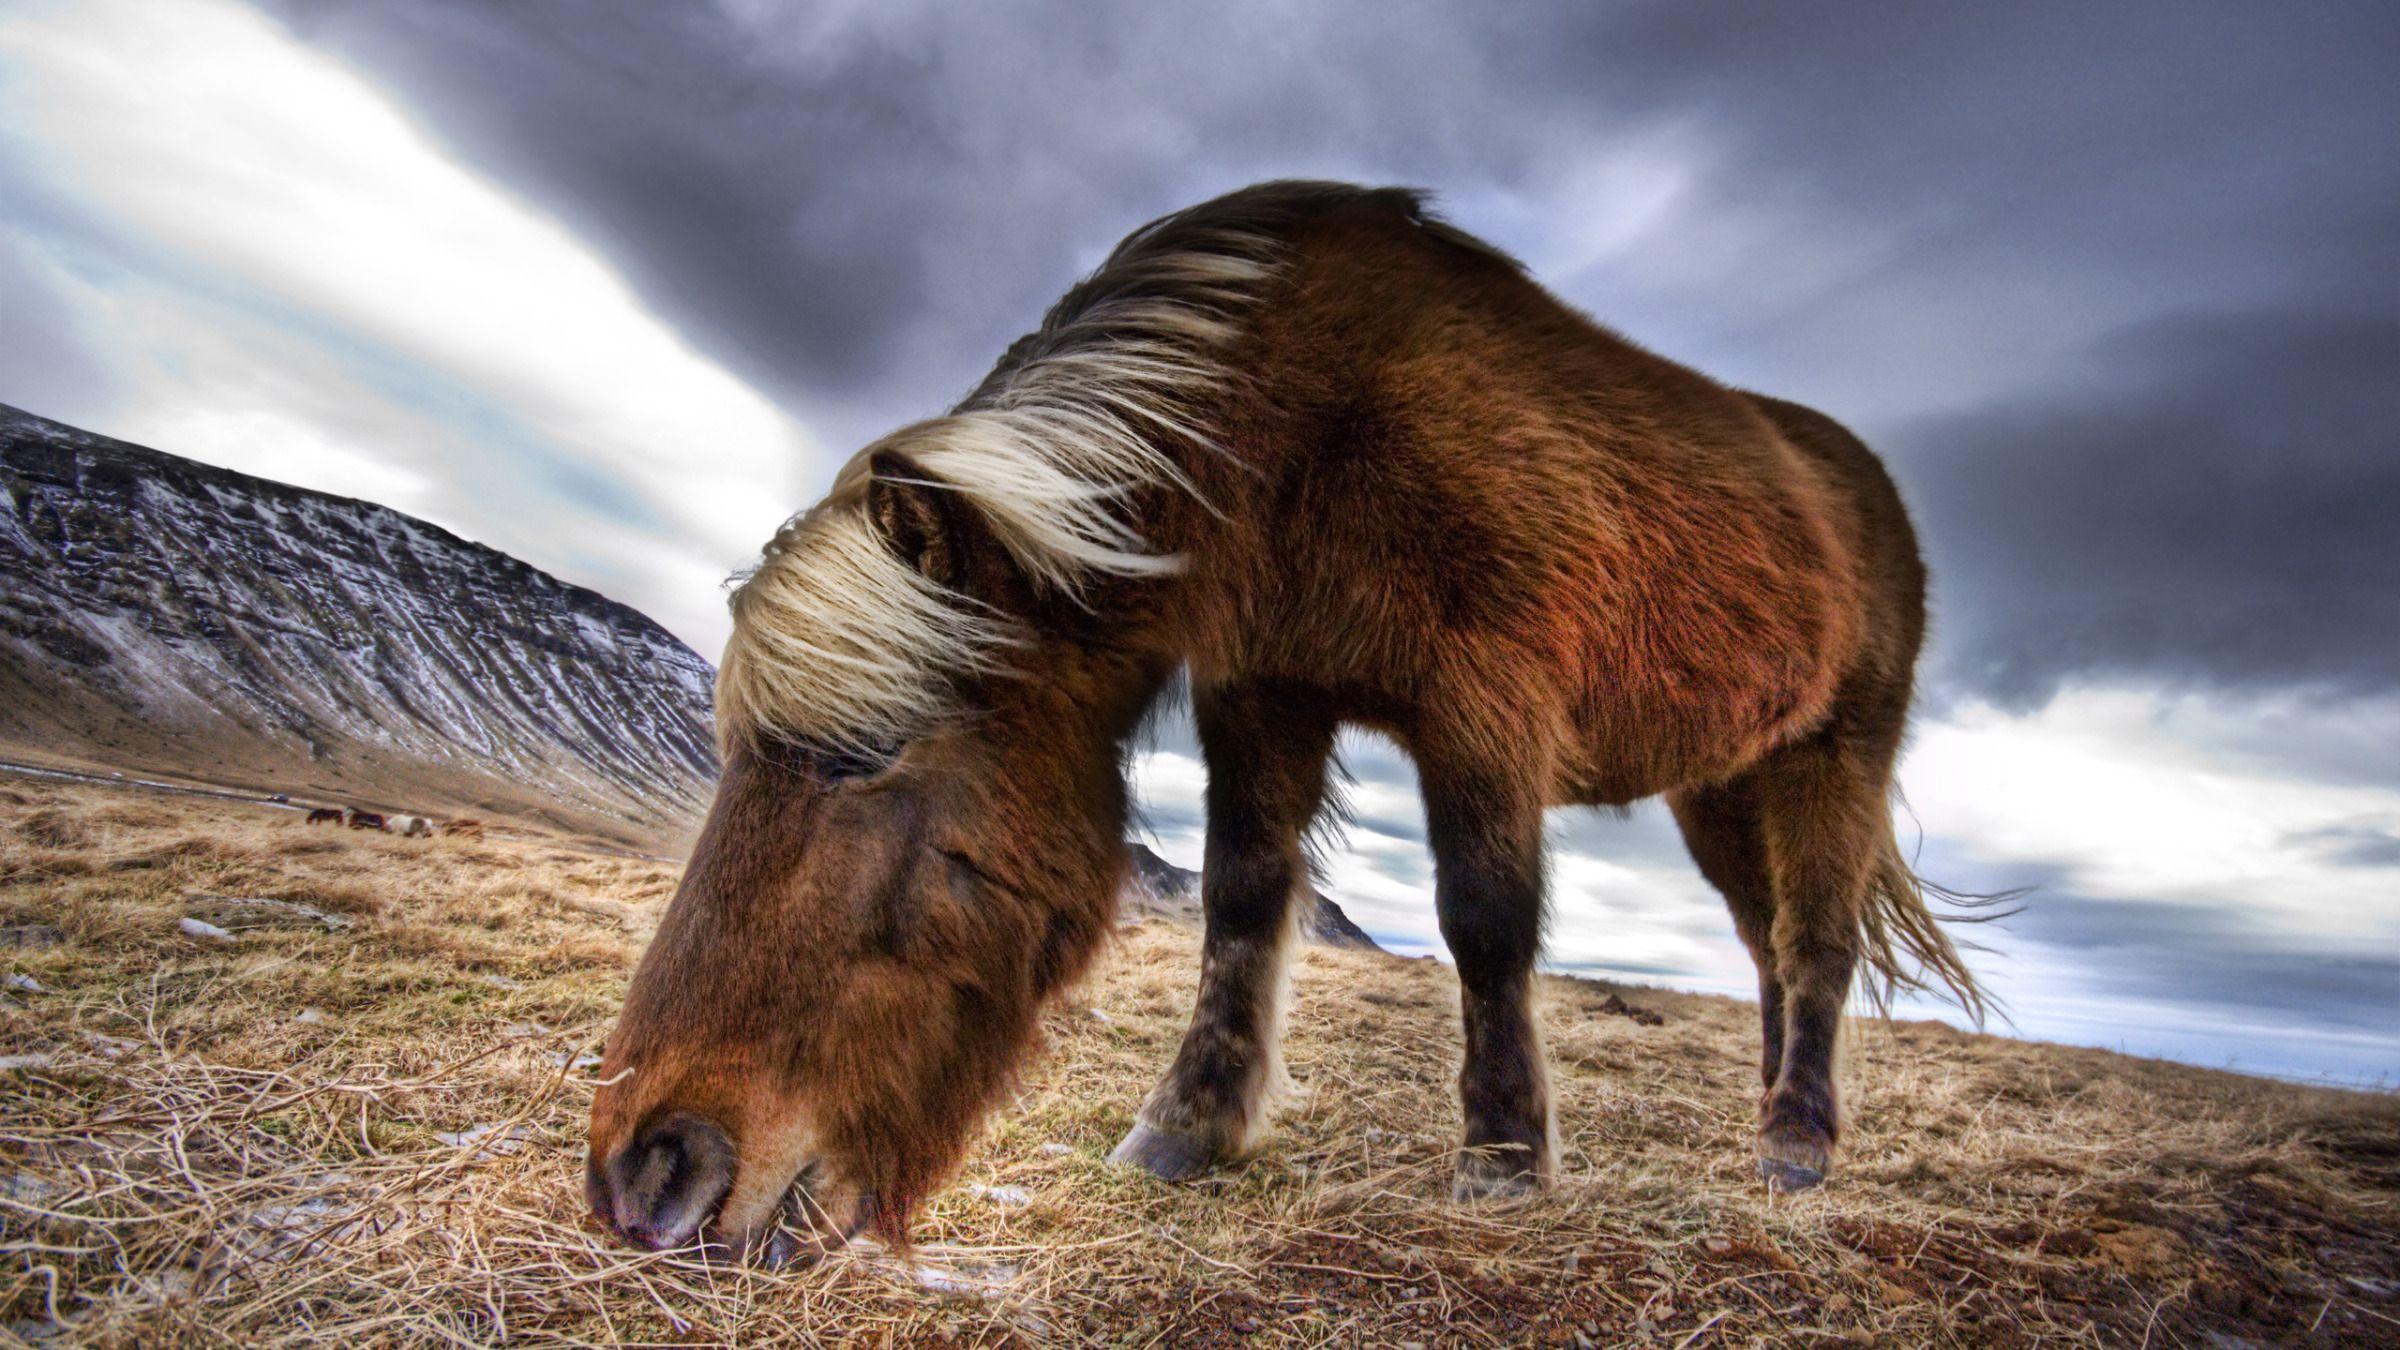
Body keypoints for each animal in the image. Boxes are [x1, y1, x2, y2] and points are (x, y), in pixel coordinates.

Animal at [587, 181, 1983, 1262]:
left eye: (861, 760)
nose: (643, 1174)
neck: (1307, 425)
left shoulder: (1485, 709)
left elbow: (1484, 919)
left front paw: (1503, 1155)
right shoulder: (1262, 694)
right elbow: (1244, 899)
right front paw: (1186, 1128)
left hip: (1834, 761)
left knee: (1813, 941)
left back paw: (1797, 1145)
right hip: (1722, 786)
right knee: (1767, 945)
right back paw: (1775, 1119)